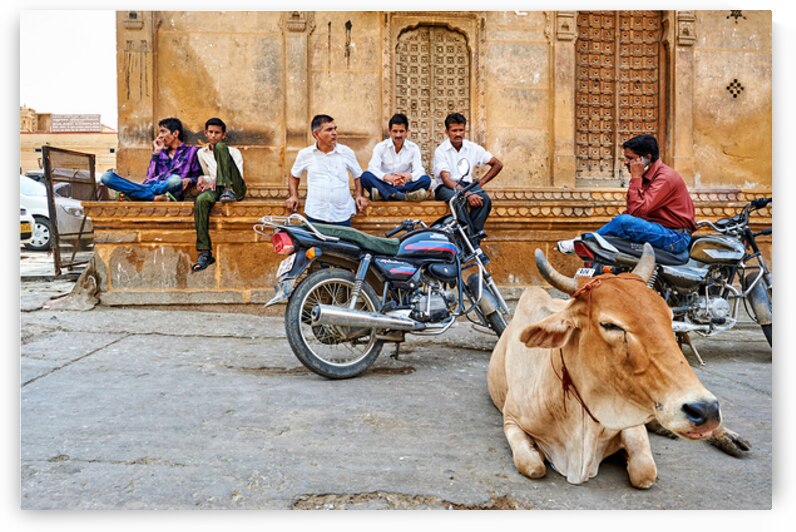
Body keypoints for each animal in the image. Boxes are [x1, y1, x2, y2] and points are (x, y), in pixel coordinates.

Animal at [487, 244, 724, 488]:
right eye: (610, 325)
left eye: (669, 317)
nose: (705, 409)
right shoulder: (511, 421)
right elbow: (533, 466)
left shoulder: (630, 424)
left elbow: (644, 472)